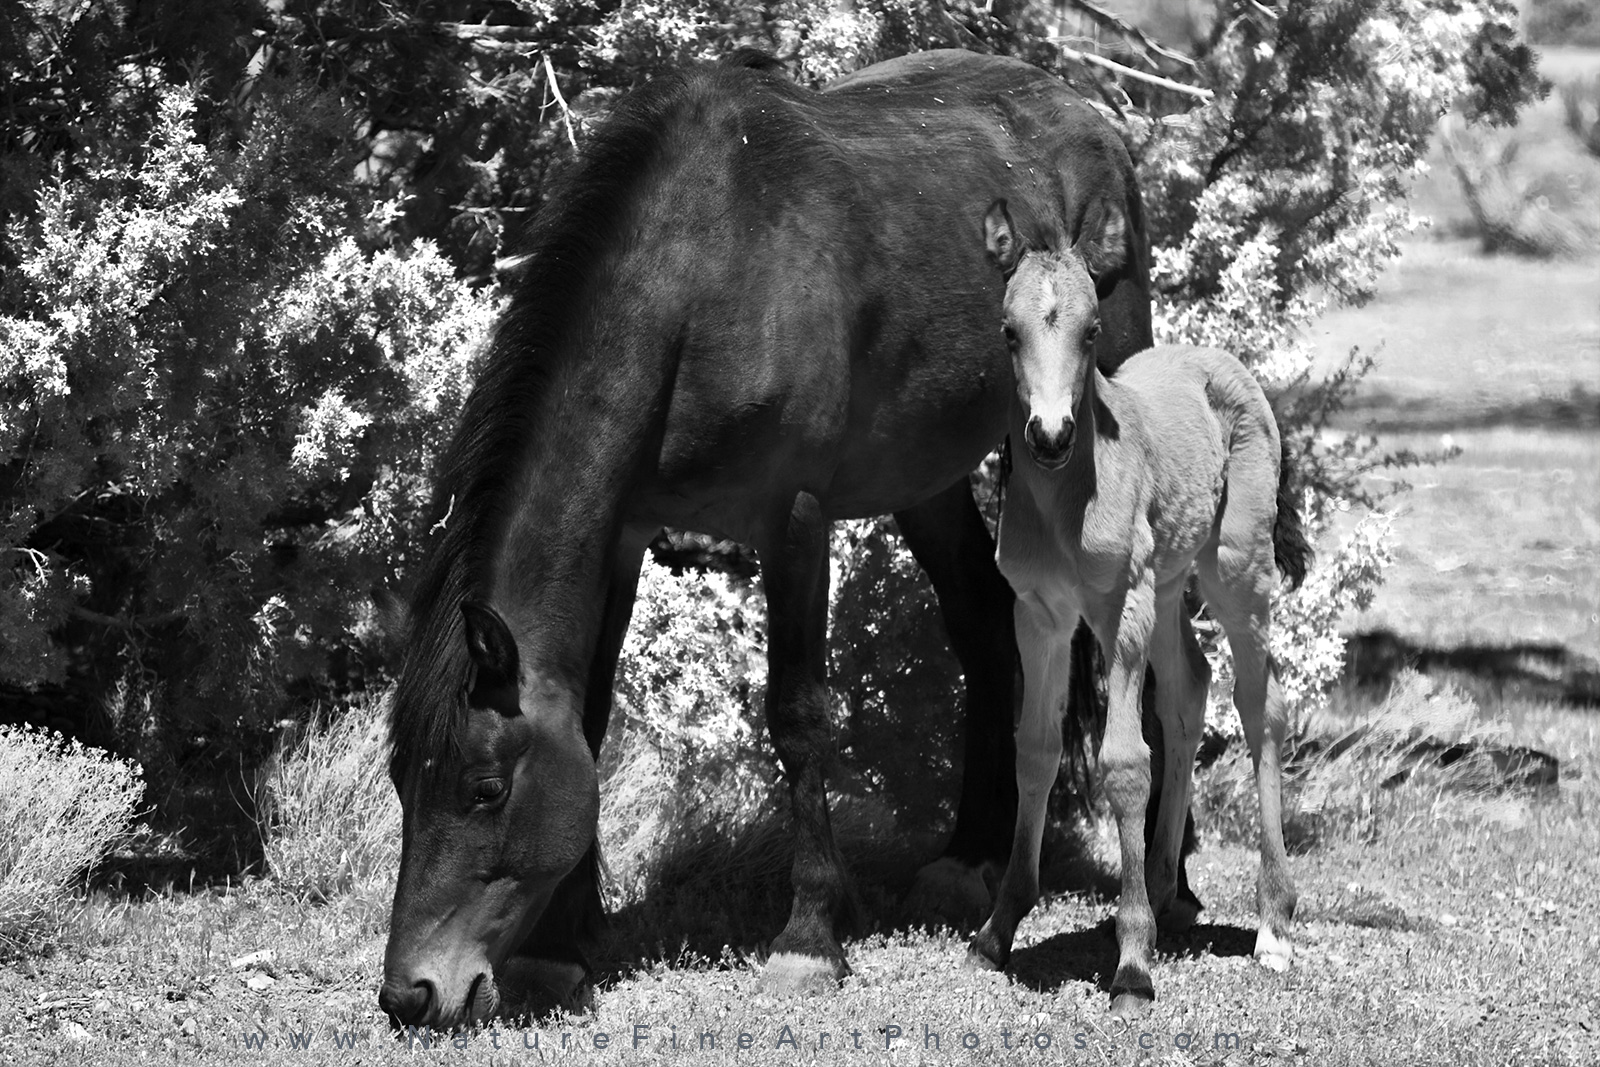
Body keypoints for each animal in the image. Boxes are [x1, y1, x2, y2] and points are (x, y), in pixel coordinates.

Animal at [377, 47, 1164, 1023]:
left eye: (485, 788)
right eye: (402, 780)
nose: (409, 992)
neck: (703, 278)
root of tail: (1095, 123)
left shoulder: (791, 517)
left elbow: (796, 716)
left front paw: (809, 938)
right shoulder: (627, 532)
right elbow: (587, 715)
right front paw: (563, 942)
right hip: (927, 473)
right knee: (984, 623)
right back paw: (968, 858)